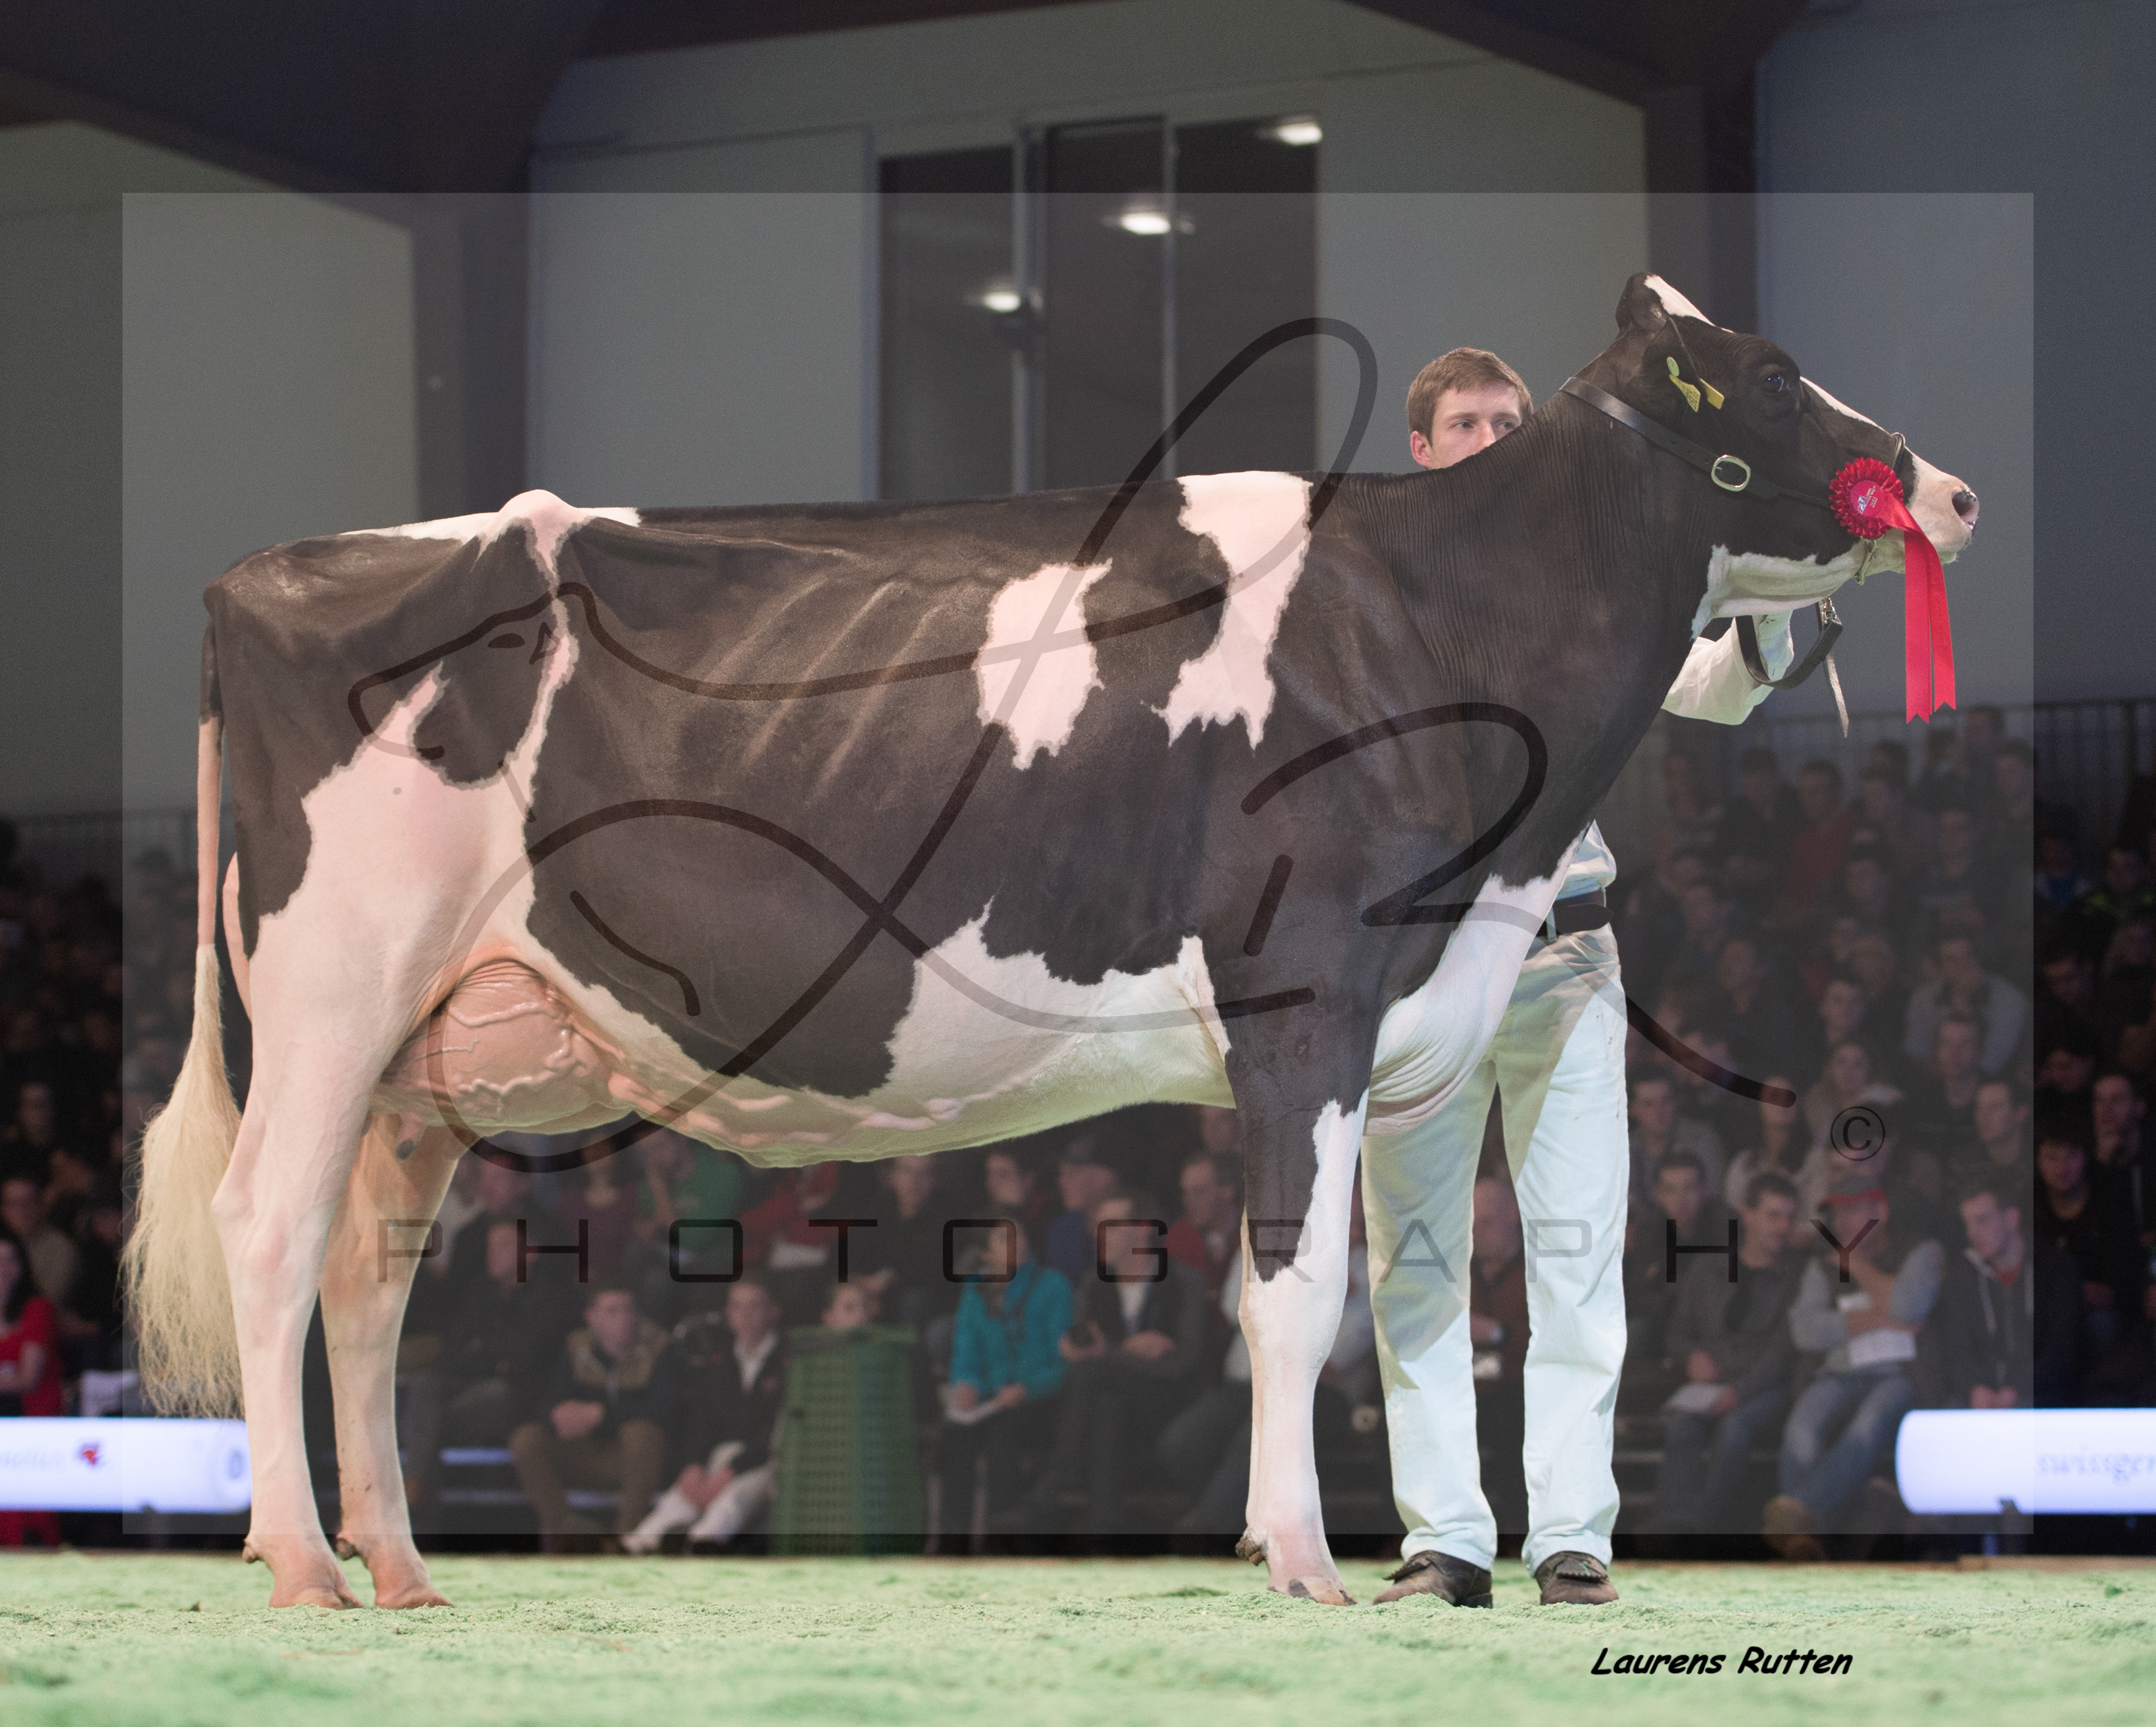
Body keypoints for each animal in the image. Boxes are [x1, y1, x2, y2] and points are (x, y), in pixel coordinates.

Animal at [127, 273, 1977, 1609]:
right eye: (1772, 375)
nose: (1948, 490)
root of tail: (266, 573)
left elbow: (1393, 1297)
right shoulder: (1302, 995)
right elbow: (1292, 1299)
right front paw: (1303, 1564)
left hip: (428, 1055)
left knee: (369, 1276)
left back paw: (400, 1563)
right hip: (332, 991)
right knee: (271, 1233)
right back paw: (304, 1564)